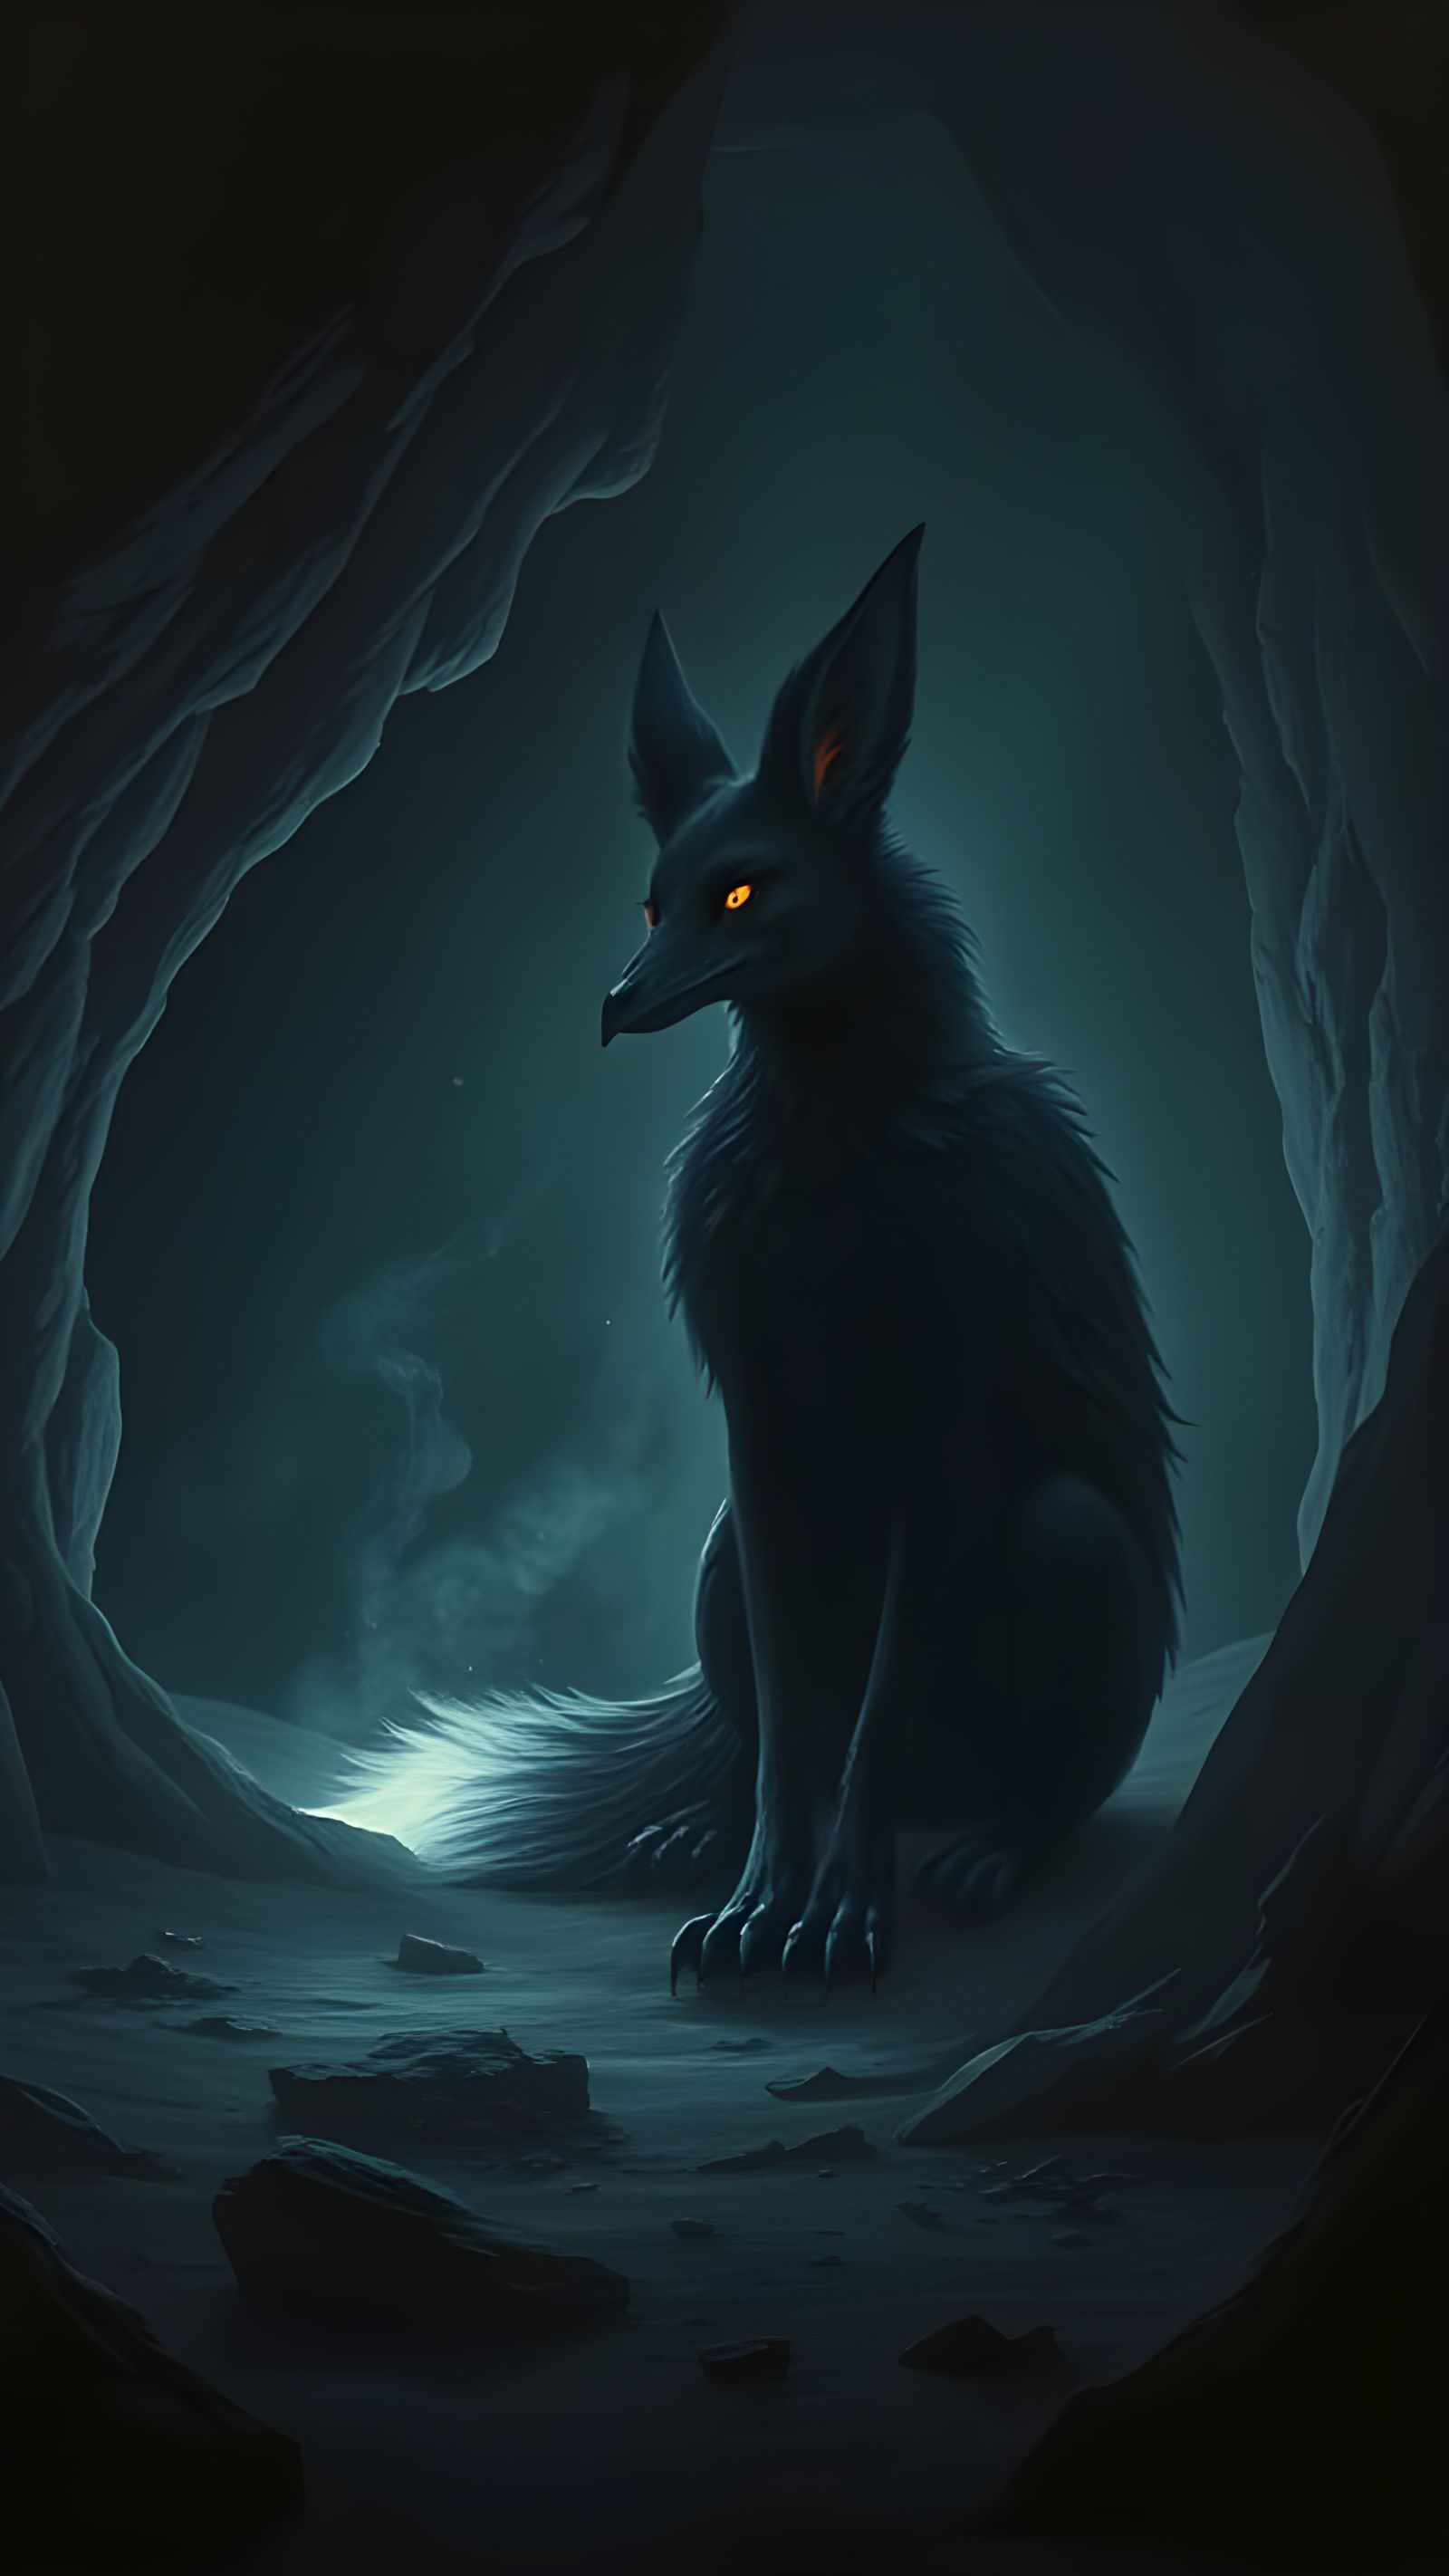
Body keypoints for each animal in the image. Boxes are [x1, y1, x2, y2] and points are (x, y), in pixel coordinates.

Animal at [342, 528, 1180, 1988]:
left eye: (739, 892)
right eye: (652, 901)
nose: (612, 1005)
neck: (836, 1141)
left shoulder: (939, 1437)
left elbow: (871, 1717)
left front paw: (837, 1918)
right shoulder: (760, 1436)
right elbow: (796, 1724)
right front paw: (758, 1905)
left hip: (1072, 1542)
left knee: (1049, 1779)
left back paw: (993, 1850)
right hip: (721, 1548)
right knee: (750, 1742)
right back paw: (691, 1834)